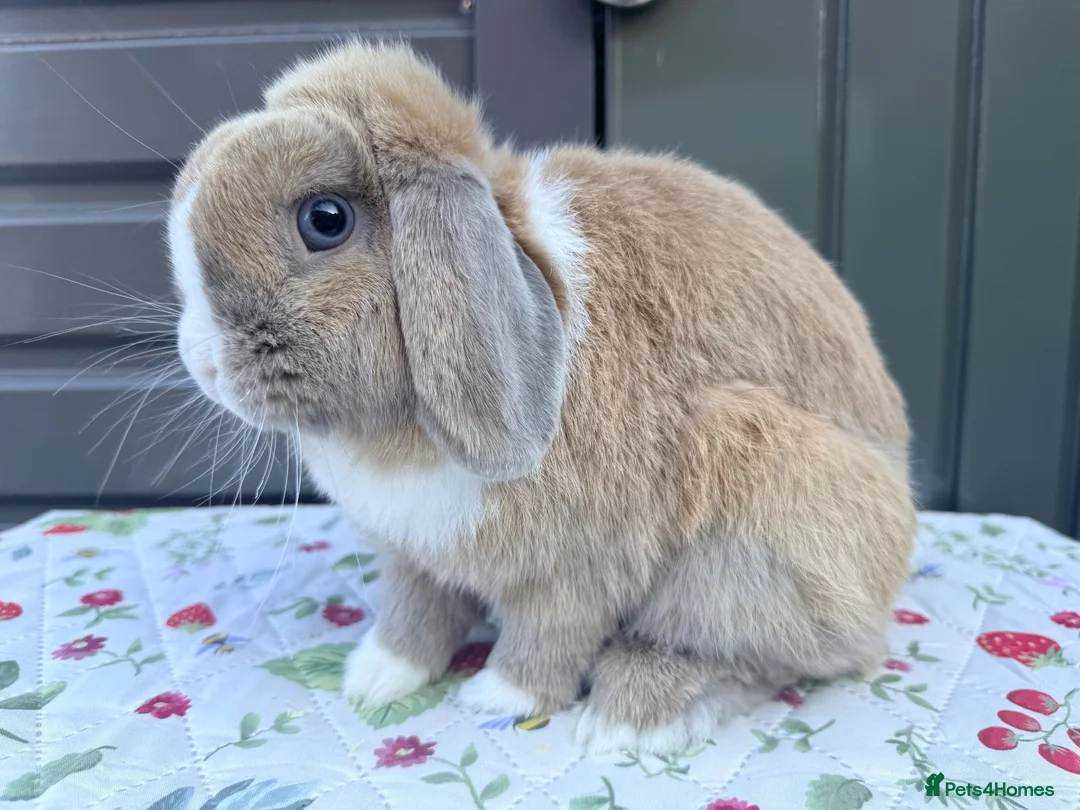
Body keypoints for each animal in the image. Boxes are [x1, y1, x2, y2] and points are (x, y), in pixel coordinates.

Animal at [167, 39, 916, 755]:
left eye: (325, 219)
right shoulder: (415, 554)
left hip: (758, 501)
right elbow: (414, 611)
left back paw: (633, 714)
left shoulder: (580, 568)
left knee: (763, 658)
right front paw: (375, 678)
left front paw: (499, 695)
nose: (202, 362)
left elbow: (550, 632)